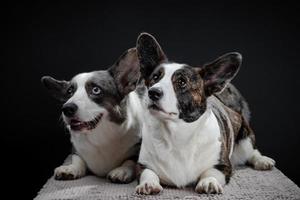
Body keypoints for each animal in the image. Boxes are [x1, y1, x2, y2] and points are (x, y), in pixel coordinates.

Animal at [40, 48, 144, 183]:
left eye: (96, 90)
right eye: (69, 92)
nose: (67, 109)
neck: (102, 137)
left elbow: (130, 160)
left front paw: (122, 170)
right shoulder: (75, 149)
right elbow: (77, 159)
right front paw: (70, 168)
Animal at [135, 33, 276, 195]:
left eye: (182, 82)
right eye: (155, 78)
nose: (153, 92)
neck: (176, 134)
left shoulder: (223, 166)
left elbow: (210, 172)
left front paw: (208, 182)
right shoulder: (142, 164)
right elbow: (148, 172)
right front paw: (148, 184)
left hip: (245, 139)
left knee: (252, 151)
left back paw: (262, 161)